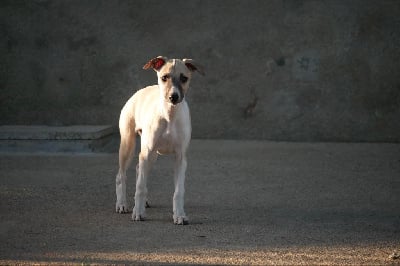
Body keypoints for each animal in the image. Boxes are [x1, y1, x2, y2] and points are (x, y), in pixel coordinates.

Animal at [115, 55, 203, 224]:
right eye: (164, 77)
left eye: (184, 78)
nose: (173, 97)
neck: (169, 115)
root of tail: (139, 92)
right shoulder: (146, 152)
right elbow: (139, 187)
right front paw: (138, 213)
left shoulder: (180, 158)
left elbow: (178, 191)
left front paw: (179, 215)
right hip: (129, 146)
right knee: (121, 175)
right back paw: (122, 204)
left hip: (152, 155)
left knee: (139, 169)